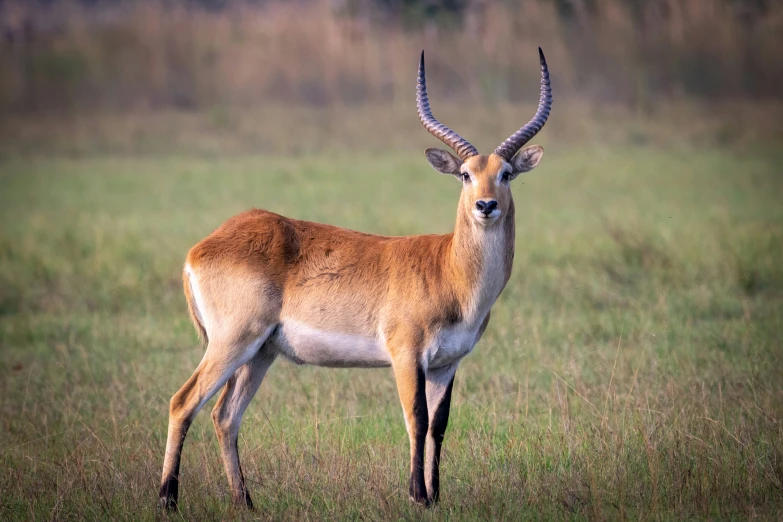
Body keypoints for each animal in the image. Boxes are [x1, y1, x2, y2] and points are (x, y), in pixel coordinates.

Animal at [159, 48, 552, 508]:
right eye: (465, 174)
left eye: (506, 173)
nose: (486, 205)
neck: (449, 270)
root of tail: (203, 246)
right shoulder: (406, 355)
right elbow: (416, 419)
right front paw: (417, 496)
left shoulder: (447, 364)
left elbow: (439, 426)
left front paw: (436, 497)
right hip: (233, 341)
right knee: (183, 402)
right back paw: (168, 499)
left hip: (260, 353)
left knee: (225, 416)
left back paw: (246, 503)